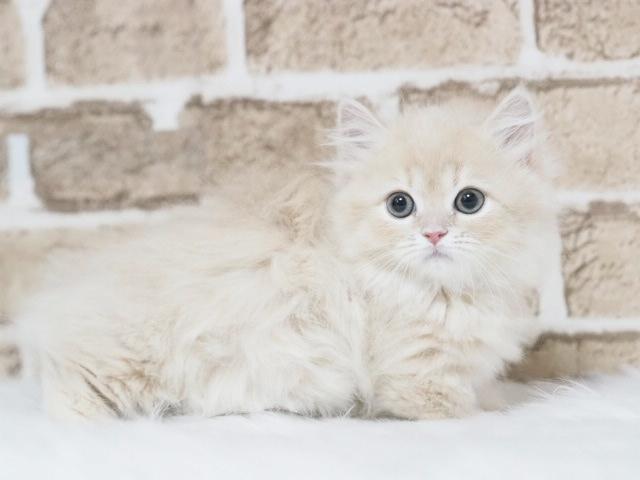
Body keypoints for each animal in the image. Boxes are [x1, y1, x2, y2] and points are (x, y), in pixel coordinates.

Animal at [15, 88, 558, 421]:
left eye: (469, 201)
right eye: (400, 205)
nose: (434, 234)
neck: (443, 294)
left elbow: (487, 390)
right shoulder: (417, 379)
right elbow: (459, 409)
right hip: (123, 364)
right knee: (66, 386)